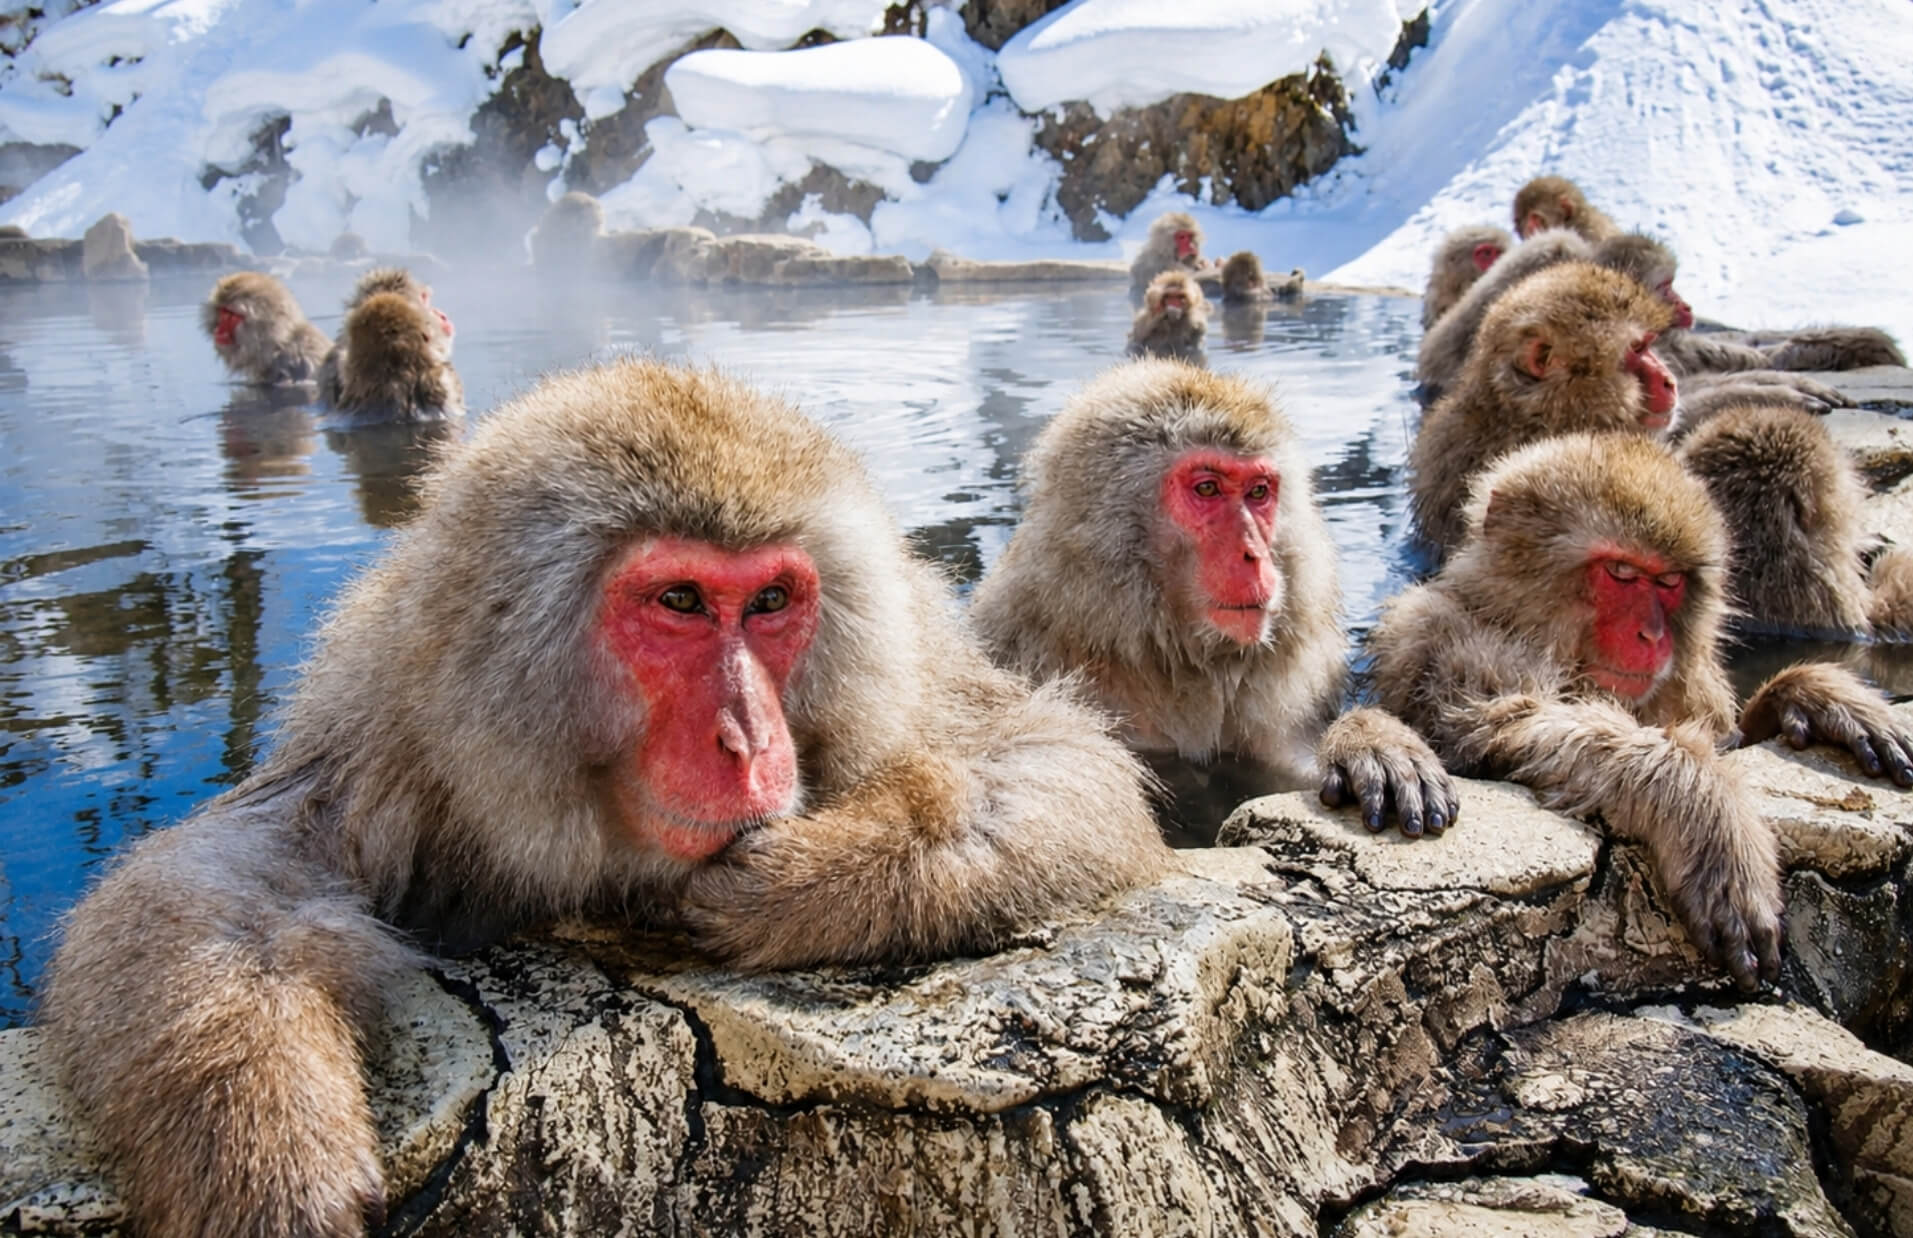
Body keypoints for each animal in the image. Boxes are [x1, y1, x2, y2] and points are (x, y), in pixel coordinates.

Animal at [41, 358, 1169, 1238]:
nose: (747, 740)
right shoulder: (388, 733)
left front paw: (802, 883)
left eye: (769, 601)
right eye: (679, 601)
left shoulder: (914, 671)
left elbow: (1060, 759)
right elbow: (235, 880)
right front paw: (261, 1139)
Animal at [1371, 432, 1913, 990]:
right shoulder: (1445, 642)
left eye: (1669, 581)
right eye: (1622, 572)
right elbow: (1506, 726)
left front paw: (1811, 696)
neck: (1515, 619)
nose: (1652, 636)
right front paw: (1707, 810)